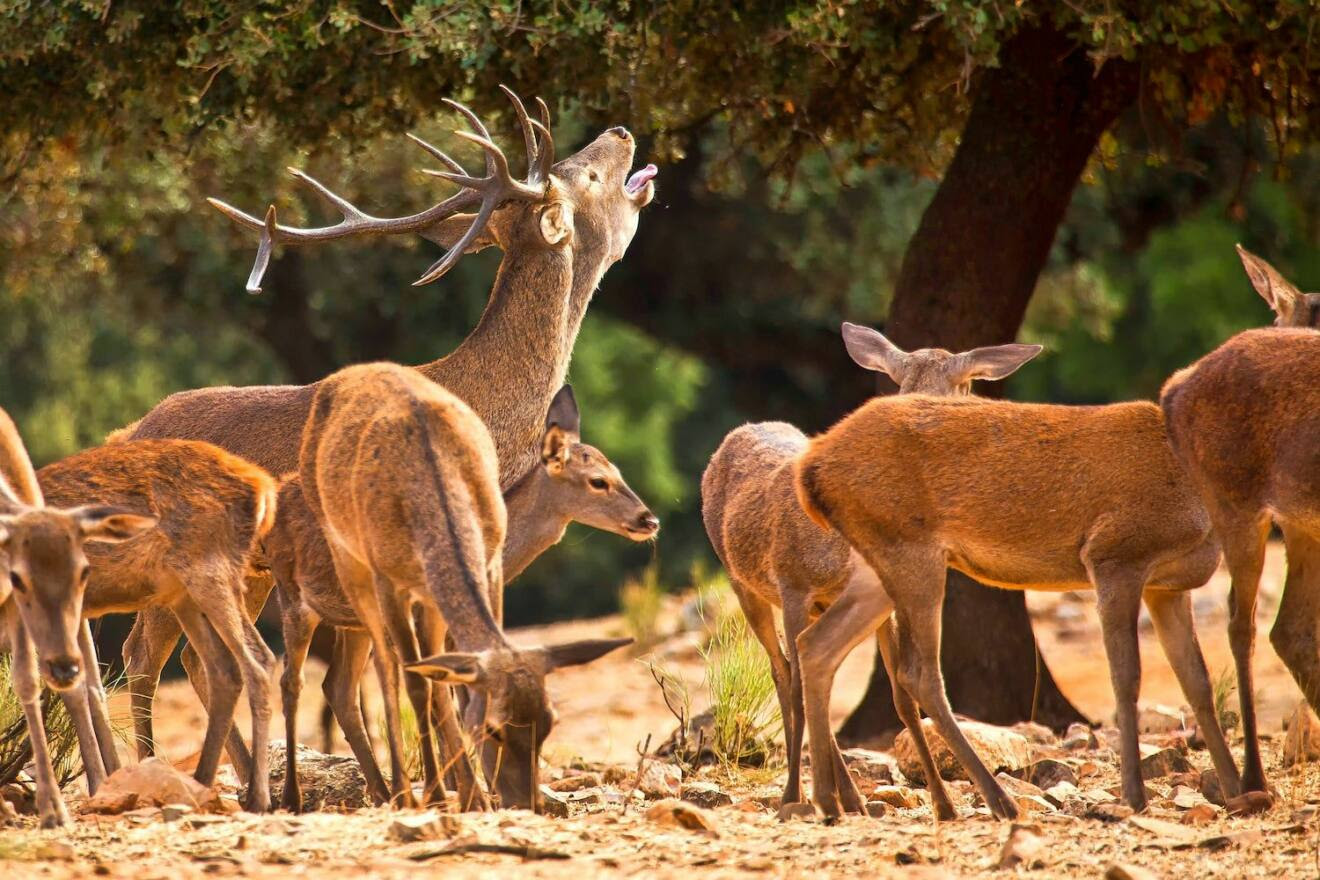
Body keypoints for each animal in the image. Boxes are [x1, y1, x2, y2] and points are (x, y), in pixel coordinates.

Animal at [0, 408, 155, 828]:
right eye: (18, 576)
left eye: (83, 571)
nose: (63, 666)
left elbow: (28, 682)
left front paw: (54, 810)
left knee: (88, 689)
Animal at [35, 440, 278, 812]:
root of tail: (263, 489)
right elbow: (90, 687)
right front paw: (103, 782)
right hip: (187, 595)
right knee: (217, 666)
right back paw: (202, 783)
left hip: (208, 578)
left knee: (255, 660)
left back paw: (258, 797)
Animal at [271, 385, 654, 812]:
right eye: (598, 481)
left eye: (618, 471)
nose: (648, 520)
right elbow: (441, 694)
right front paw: (469, 790)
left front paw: (468, 787)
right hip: (297, 601)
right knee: (290, 678)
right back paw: (294, 796)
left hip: (352, 626)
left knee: (337, 687)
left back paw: (382, 790)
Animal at [702, 323, 1040, 817]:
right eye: (968, 384)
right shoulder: (792, 584)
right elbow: (800, 685)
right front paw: (793, 797)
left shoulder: (882, 602)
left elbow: (900, 695)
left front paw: (942, 803)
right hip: (741, 580)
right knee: (782, 672)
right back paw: (815, 794)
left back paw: (851, 797)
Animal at [797, 398, 1240, 817]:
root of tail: (810, 467)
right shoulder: (1115, 555)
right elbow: (1126, 678)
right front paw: (1134, 796)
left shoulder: (1168, 587)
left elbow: (1196, 681)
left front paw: (1238, 788)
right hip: (909, 548)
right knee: (917, 672)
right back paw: (997, 800)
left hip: (876, 567)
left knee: (815, 646)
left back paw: (832, 802)